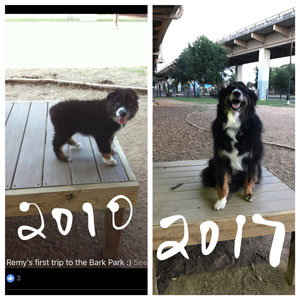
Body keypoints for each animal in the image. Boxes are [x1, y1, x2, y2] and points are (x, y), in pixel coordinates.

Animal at [202, 81, 262, 210]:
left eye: (244, 89)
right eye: (231, 88)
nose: (236, 93)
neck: (235, 126)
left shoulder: (251, 160)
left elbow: (248, 179)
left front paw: (248, 194)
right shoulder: (221, 160)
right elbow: (223, 182)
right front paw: (221, 201)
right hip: (212, 162)